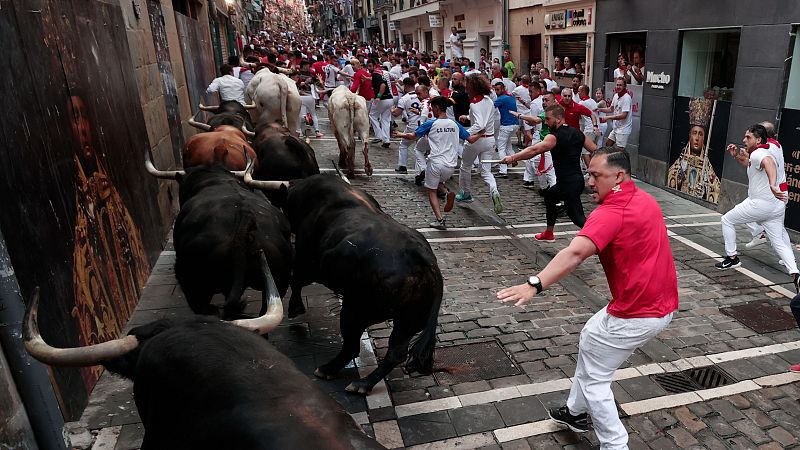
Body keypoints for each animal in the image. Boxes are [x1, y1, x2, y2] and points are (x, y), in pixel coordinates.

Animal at [282, 175, 444, 394]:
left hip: (355, 309)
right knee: (396, 352)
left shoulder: (306, 261)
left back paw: (330, 371)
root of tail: (422, 257)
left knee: (352, 345)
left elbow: (295, 280)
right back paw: (364, 383)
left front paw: (295, 308)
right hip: (408, 320)